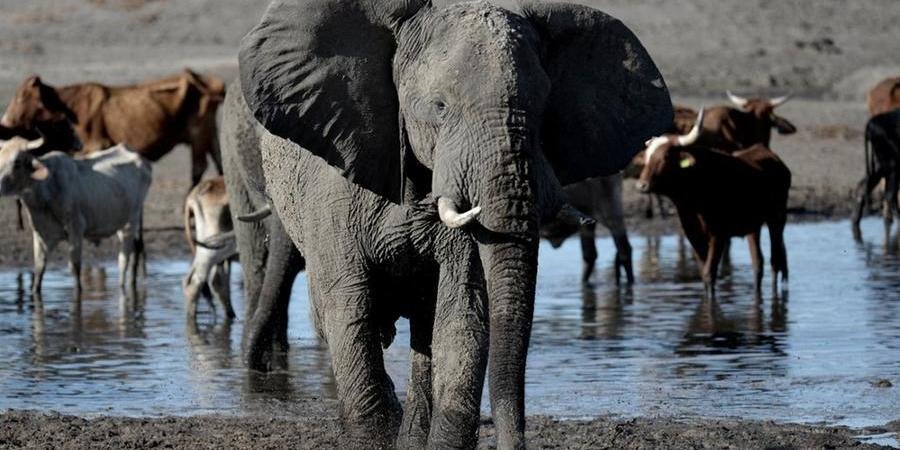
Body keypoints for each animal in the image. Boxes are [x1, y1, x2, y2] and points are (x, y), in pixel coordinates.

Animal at [226, 0, 672, 447]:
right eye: (439, 106)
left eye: (545, 108)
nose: (514, 442)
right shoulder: (332, 191)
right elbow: (350, 305)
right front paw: (376, 435)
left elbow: (462, 312)